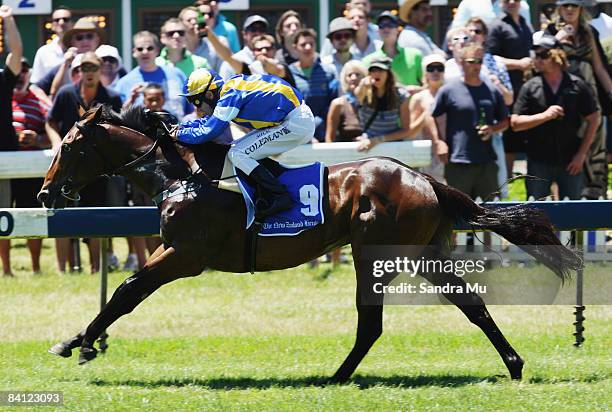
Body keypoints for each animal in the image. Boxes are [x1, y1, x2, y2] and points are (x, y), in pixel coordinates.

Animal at [39, 106, 584, 384]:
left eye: (68, 146)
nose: (44, 193)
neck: (182, 175)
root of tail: (423, 177)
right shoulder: (174, 253)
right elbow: (125, 292)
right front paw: (72, 341)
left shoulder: (185, 256)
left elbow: (125, 292)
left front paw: (82, 345)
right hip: (423, 253)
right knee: (471, 305)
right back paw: (513, 365)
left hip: (375, 254)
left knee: (372, 323)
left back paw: (336, 377)